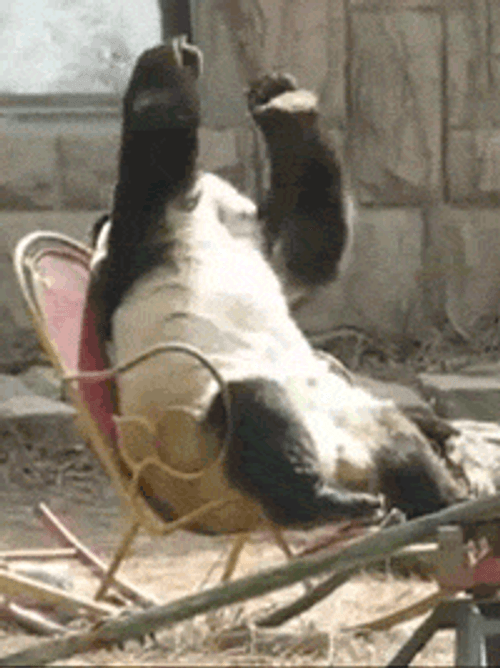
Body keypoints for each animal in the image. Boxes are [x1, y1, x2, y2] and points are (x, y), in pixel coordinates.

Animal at [88, 38, 468, 534]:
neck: (206, 221)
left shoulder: (259, 243)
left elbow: (309, 245)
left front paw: (281, 102)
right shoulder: (143, 239)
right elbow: (155, 151)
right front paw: (170, 62)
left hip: (360, 424)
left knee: (405, 450)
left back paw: (442, 492)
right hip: (199, 443)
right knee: (258, 417)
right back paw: (325, 500)